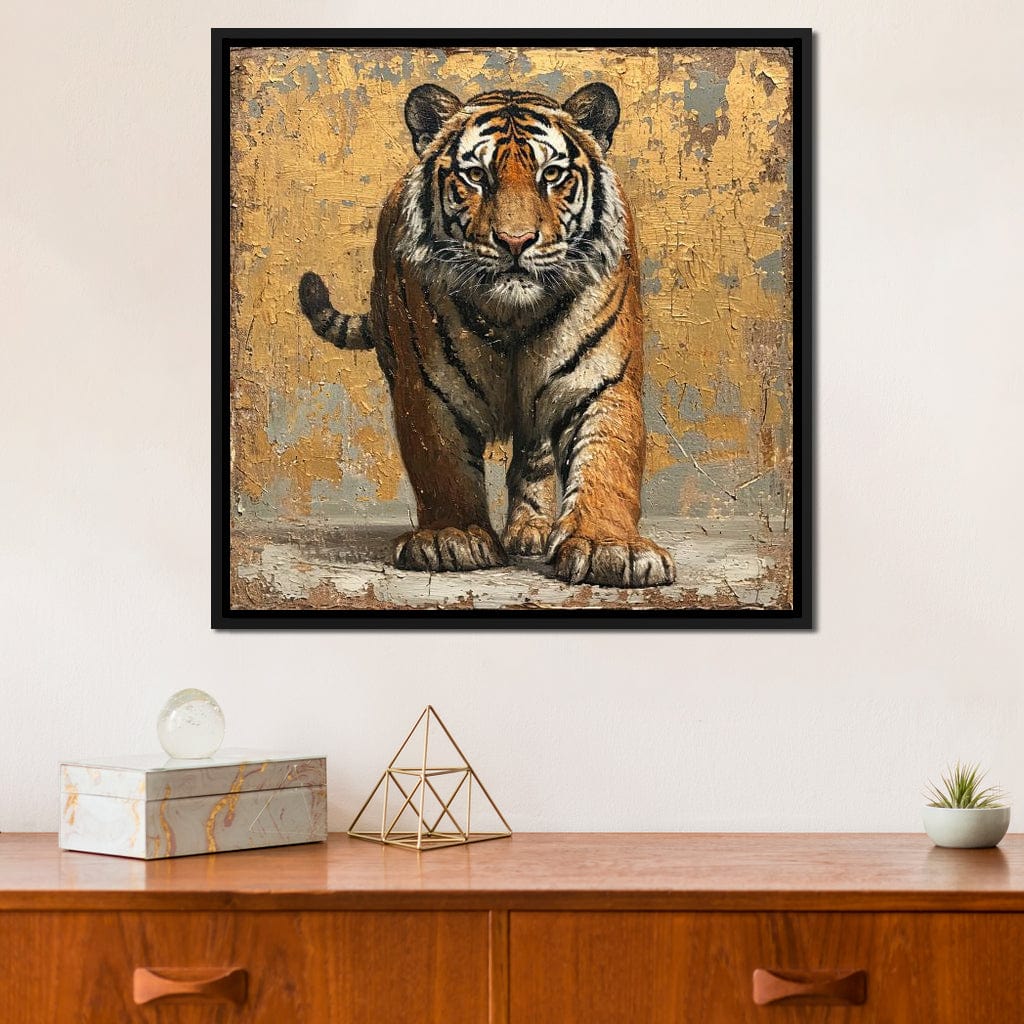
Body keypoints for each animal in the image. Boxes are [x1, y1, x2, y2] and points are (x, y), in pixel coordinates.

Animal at [299, 81, 675, 588]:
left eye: (551, 174)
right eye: (476, 176)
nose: (515, 241)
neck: (513, 315)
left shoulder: (601, 381)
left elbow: (608, 462)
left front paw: (609, 546)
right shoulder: (429, 390)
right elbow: (443, 467)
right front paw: (450, 538)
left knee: (534, 455)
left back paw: (532, 529)